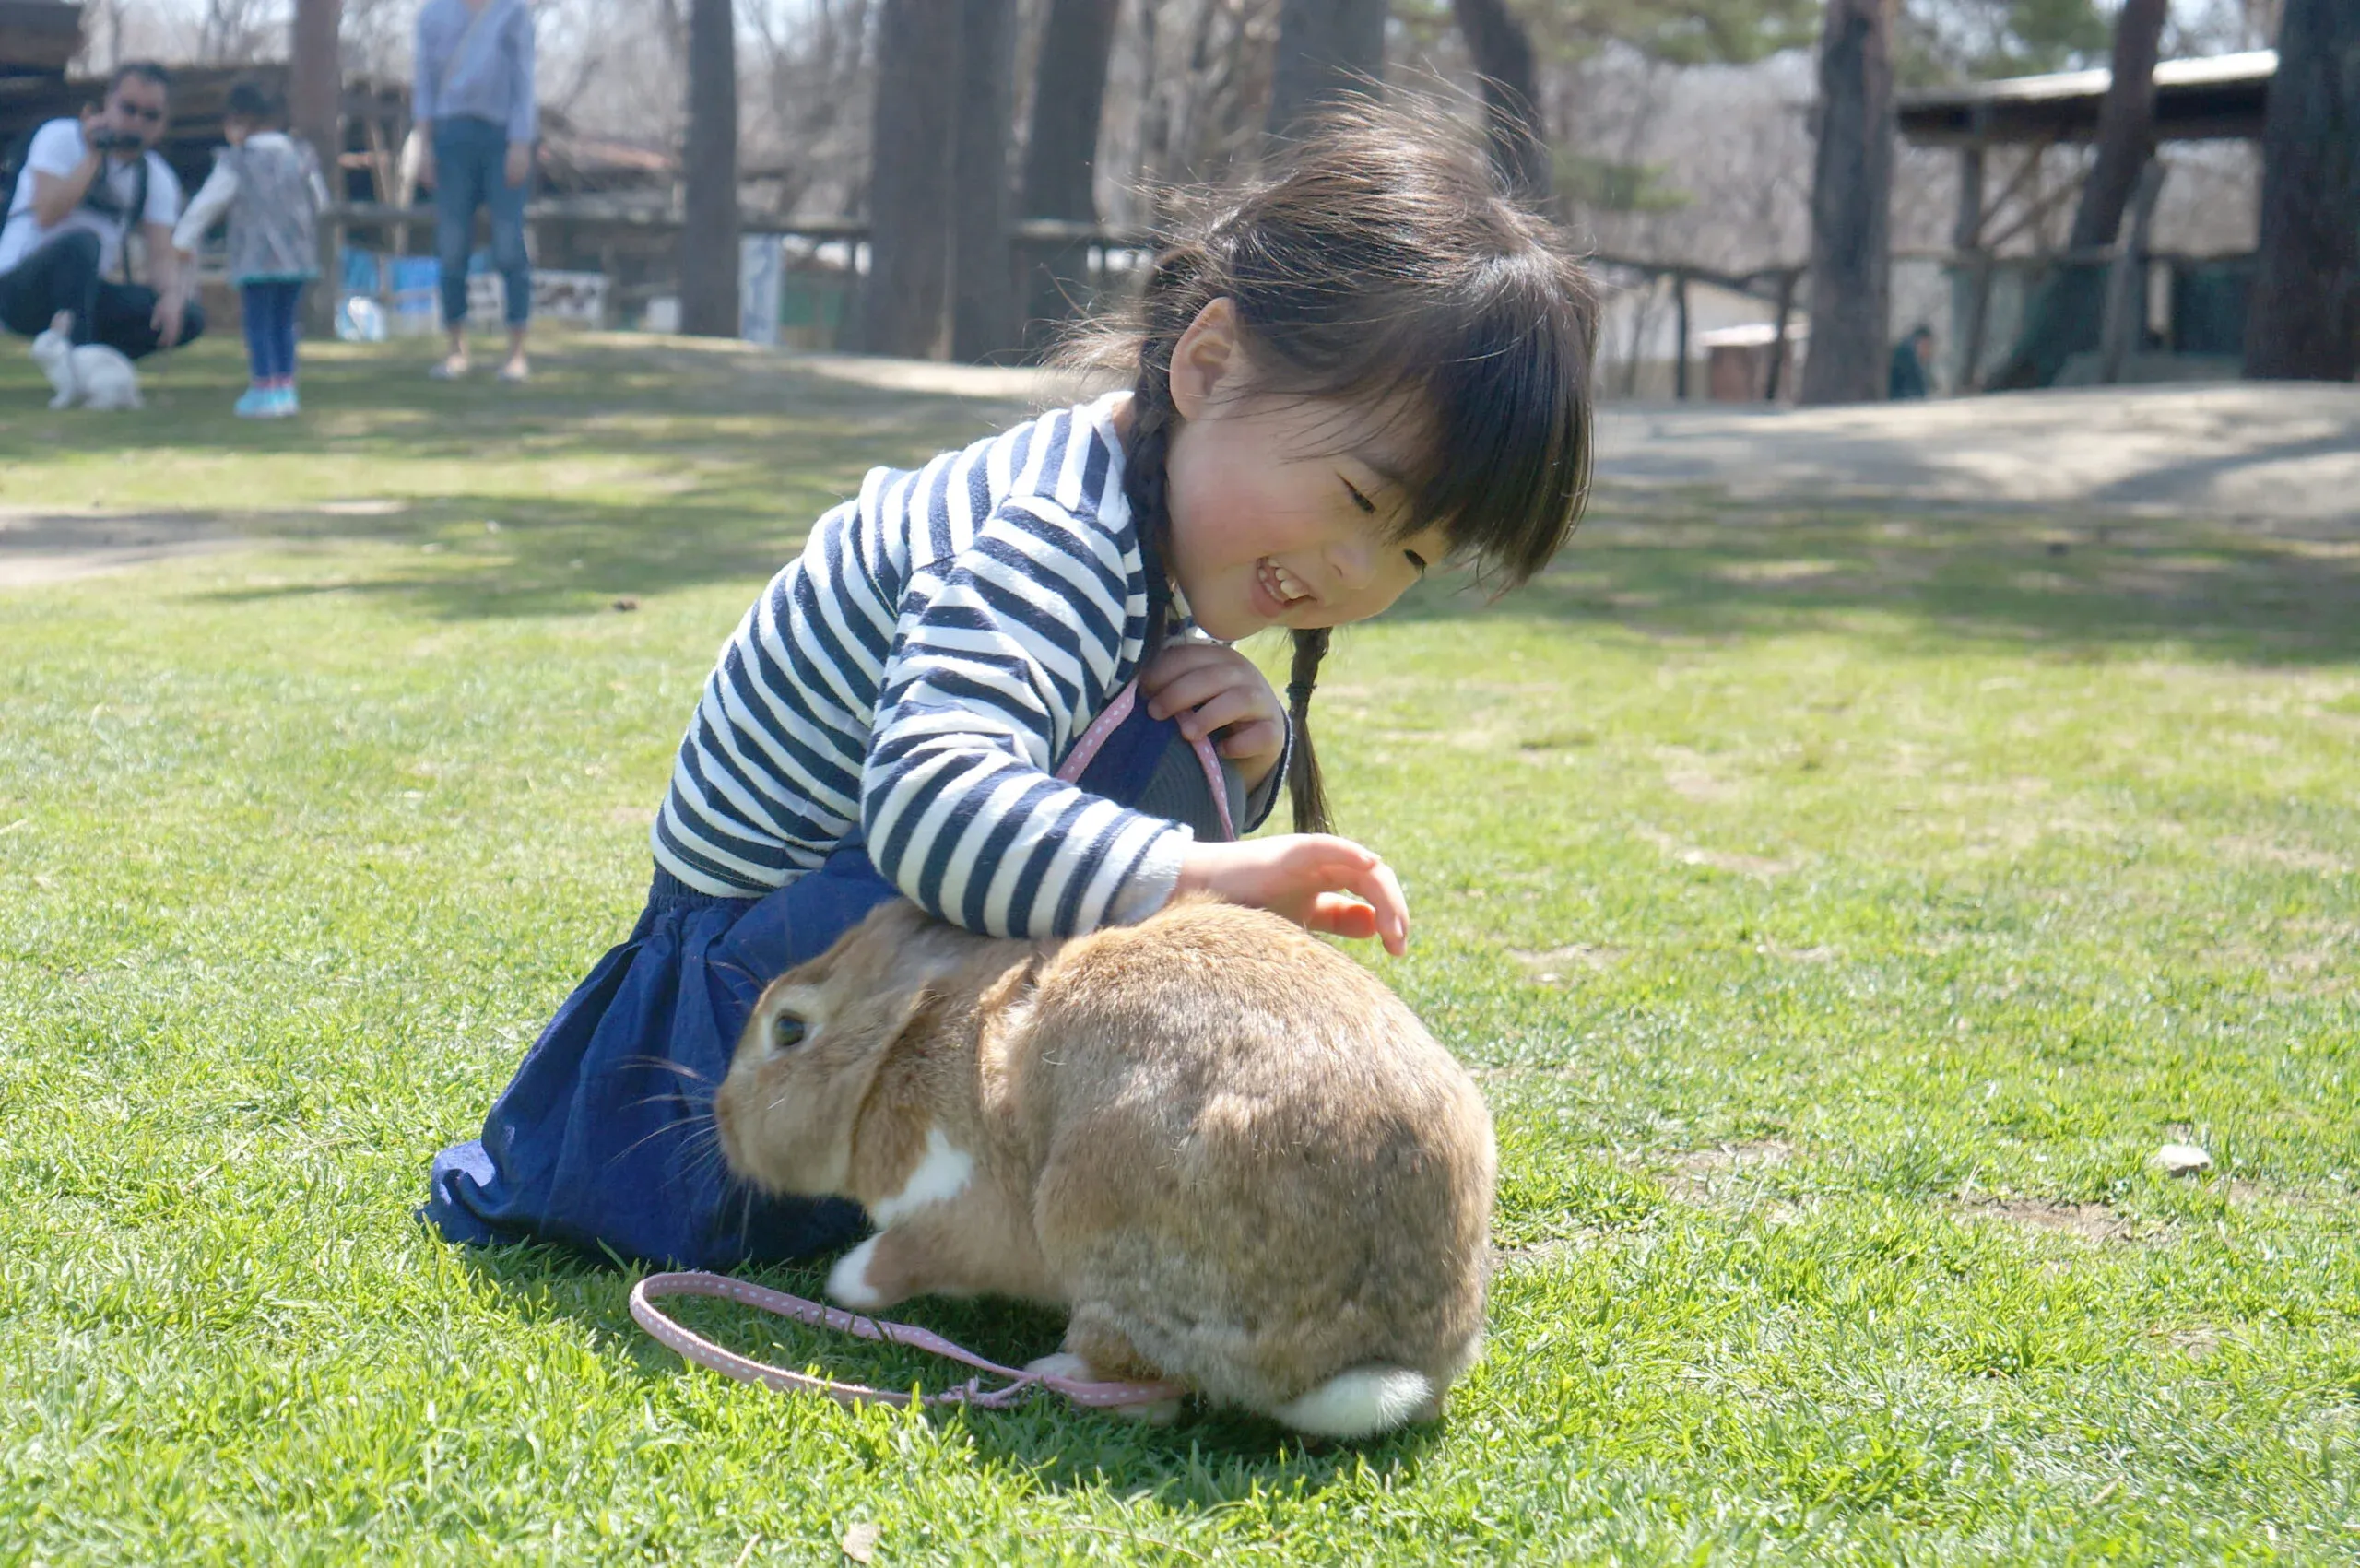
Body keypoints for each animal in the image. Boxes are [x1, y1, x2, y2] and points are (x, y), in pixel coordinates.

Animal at [708, 892, 1501, 1435]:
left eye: (789, 1028)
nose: (721, 1118)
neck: (899, 1048)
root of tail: (1381, 1355)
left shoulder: (963, 1211)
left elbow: (902, 1258)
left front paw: (846, 1281)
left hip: (1092, 1224)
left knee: (1148, 1388)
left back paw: (1053, 1372)